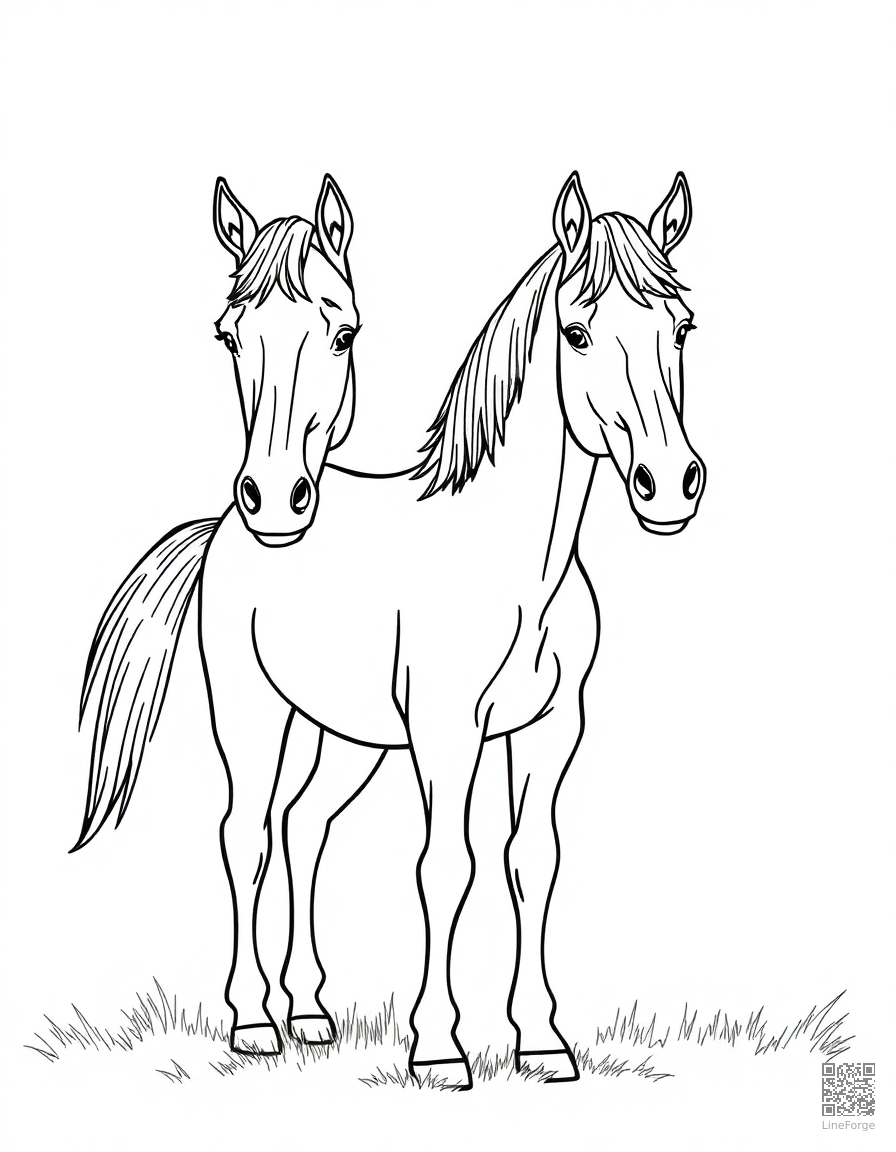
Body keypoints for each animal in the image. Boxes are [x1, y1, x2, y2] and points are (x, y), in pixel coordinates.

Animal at [76, 170, 705, 1091]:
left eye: (683, 328)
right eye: (577, 331)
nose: (671, 482)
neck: (516, 562)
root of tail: (230, 521)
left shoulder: (553, 729)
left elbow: (533, 861)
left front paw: (541, 1041)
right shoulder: (447, 735)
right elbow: (446, 868)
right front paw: (440, 1047)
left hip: (344, 737)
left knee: (302, 829)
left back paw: (308, 1013)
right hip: (252, 715)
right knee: (246, 836)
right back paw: (253, 1022)